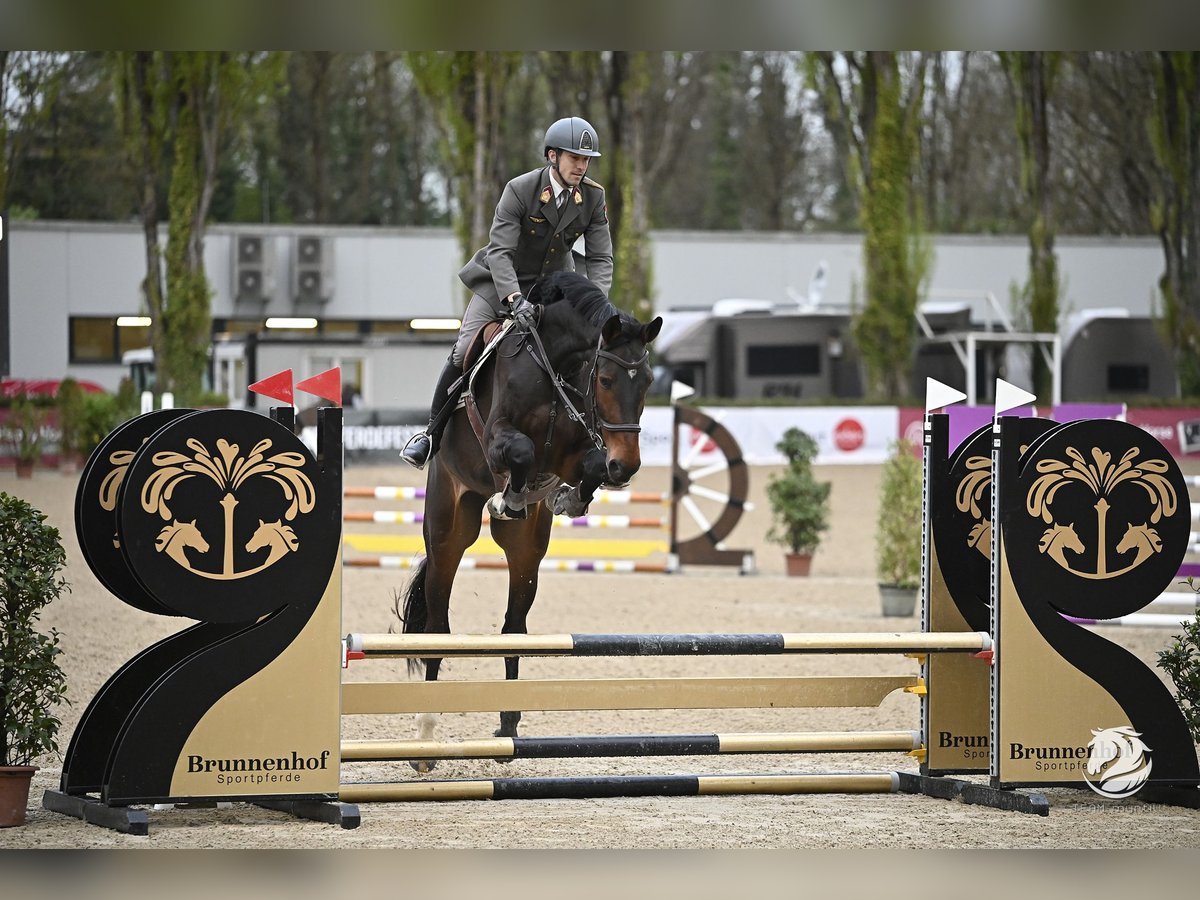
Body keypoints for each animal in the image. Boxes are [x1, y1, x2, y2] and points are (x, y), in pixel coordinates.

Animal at [403, 267, 667, 763]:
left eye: (646, 382)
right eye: (605, 379)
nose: (627, 467)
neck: (556, 368)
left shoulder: (578, 450)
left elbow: (590, 465)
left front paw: (568, 498)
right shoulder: (498, 438)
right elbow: (522, 450)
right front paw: (509, 496)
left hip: (525, 550)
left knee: (514, 627)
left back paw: (508, 726)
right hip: (449, 529)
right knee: (437, 626)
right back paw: (425, 737)